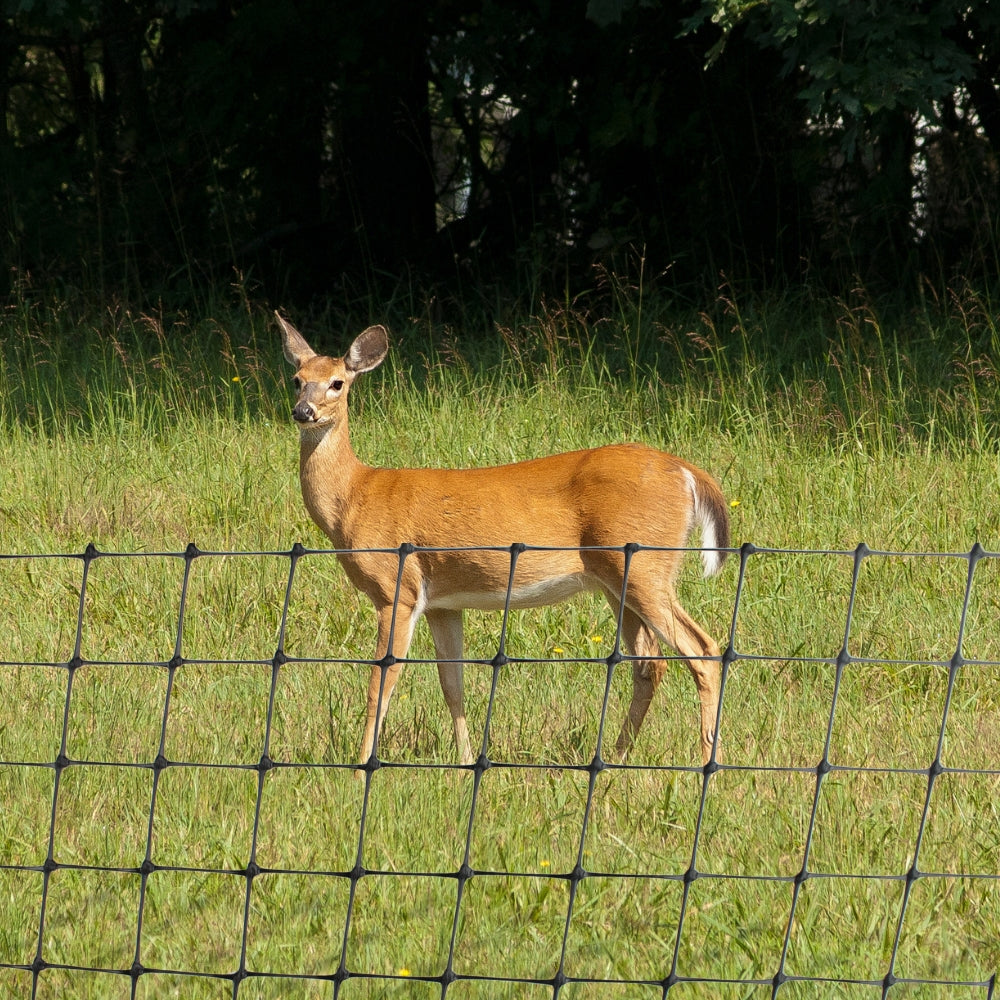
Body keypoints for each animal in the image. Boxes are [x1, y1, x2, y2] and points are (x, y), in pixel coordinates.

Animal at [278, 312, 732, 772]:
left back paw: (707, 760)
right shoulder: (442, 602)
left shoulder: (396, 589)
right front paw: (464, 762)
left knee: (703, 649)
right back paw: (616, 757)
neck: (357, 497)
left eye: (337, 382)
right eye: (297, 379)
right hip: (617, 578)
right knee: (649, 662)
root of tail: (687, 472)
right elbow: (452, 683)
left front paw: (360, 767)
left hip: (645, 566)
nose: (303, 411)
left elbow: (381, 682)